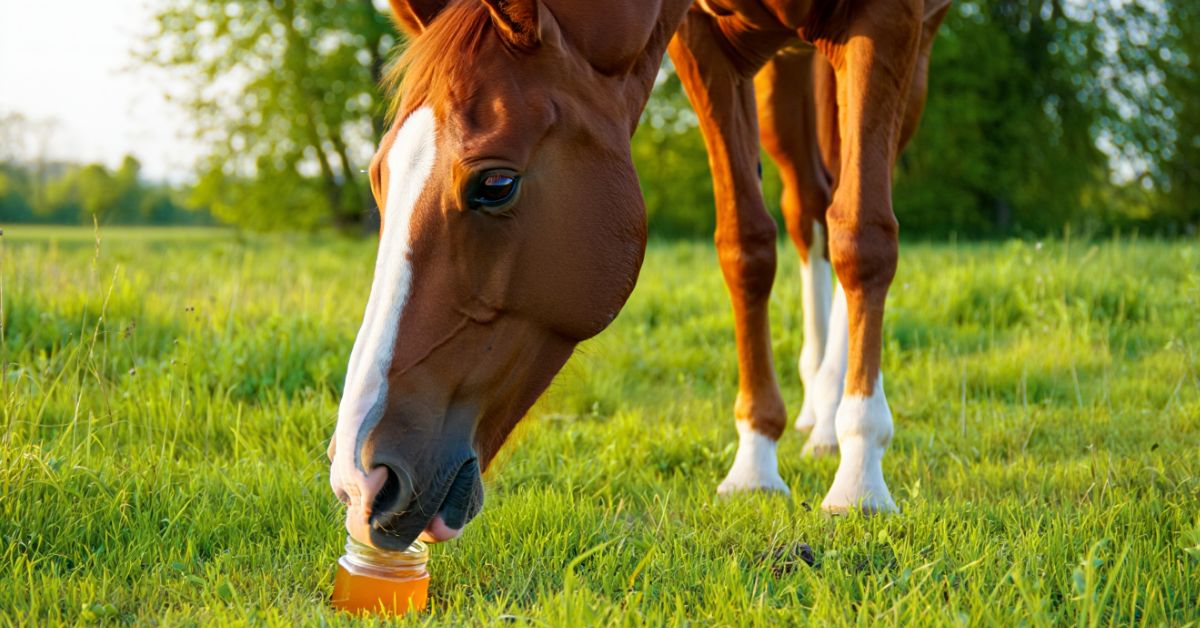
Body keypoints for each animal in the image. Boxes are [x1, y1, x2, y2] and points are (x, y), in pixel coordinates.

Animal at [327, 0, 952, 549]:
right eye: (379, 178)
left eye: (495, 184)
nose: (360, 481)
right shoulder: (705, 46)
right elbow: (746, 247)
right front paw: (754, 463)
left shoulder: (888, 25)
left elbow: (863, 239)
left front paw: (861, 476)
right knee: (809, 207)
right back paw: (819, 410)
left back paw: (836, 418)